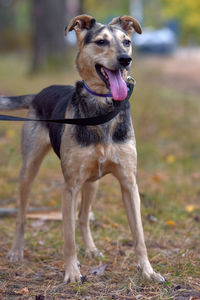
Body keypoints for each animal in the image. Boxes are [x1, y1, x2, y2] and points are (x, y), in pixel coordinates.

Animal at [0, 14, 165, 284]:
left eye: (127, 42)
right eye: (101, 42)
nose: (125, 59)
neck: (102, 108)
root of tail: (39, 93)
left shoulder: (129, 184)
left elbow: (139, 236)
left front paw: (148, 271)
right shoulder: (70, 187)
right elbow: (68, 237)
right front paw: (72, 272)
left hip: (93, 182)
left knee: (83, 217)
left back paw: (91, 249)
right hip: (29, 169)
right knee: (22, 215)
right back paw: (16, 251)